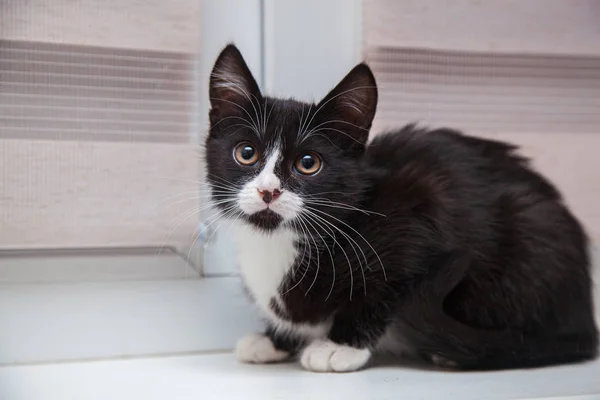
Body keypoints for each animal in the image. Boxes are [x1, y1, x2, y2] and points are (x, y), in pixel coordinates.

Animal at [204, 43, 596, 372]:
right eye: (246, 153)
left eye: (308, 163)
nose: (268, 191)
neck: (280, 241)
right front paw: (273, 340)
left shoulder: (420, 212)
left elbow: (387, 287)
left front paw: (340, 346)